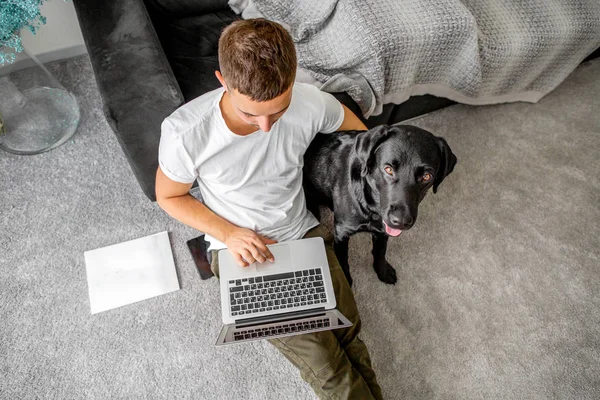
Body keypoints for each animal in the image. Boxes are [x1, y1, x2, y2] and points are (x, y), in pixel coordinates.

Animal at [302, 124, 458, 284]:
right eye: (388, 169)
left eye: (426, 176)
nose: (400, 221)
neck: (371, 208)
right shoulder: (341, 233)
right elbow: (343, 259)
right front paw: (347, 280)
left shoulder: (383, 231)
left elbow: (380, 251)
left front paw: (382, 271)